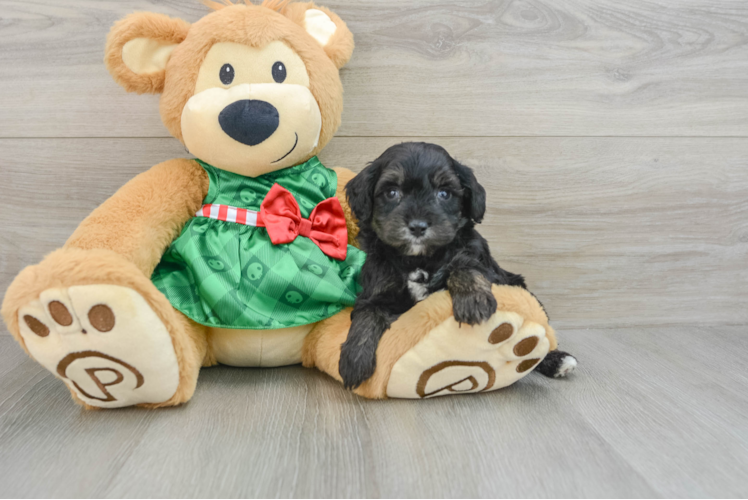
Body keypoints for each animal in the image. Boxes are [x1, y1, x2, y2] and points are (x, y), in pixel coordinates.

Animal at [340, 143, 580, 388]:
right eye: (391, 192)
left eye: (444, 193)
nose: (417, 226)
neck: (419, 259)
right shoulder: (377, 288)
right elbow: (367, 312)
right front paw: (354, 358)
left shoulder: (481, 262)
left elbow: (464, 265)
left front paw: (473, 300)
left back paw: (557, 360)